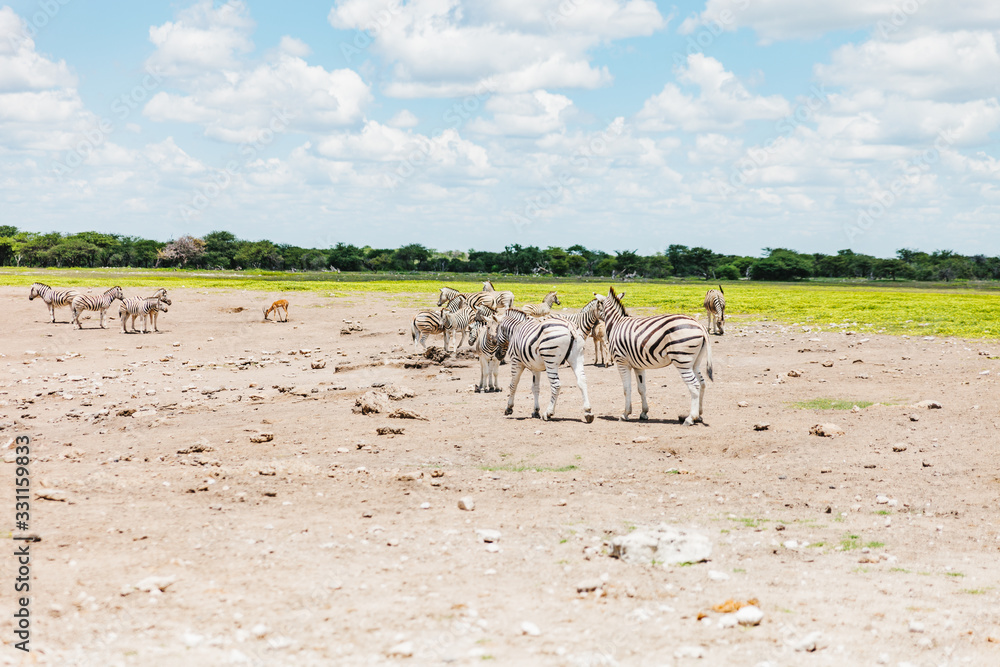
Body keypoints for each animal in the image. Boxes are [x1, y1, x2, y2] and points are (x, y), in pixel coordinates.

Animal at [601, 286, 713, 425]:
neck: (616, 324)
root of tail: (699, 325)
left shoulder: (622, 362)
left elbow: (626, 389)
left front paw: (625, 414)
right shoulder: (638, 365)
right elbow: (641, 388)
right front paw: (644, 413)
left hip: (682, 361)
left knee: (694, 385)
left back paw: (690, 418)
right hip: (695, 362)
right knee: (702, 383)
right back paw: (699, 415)